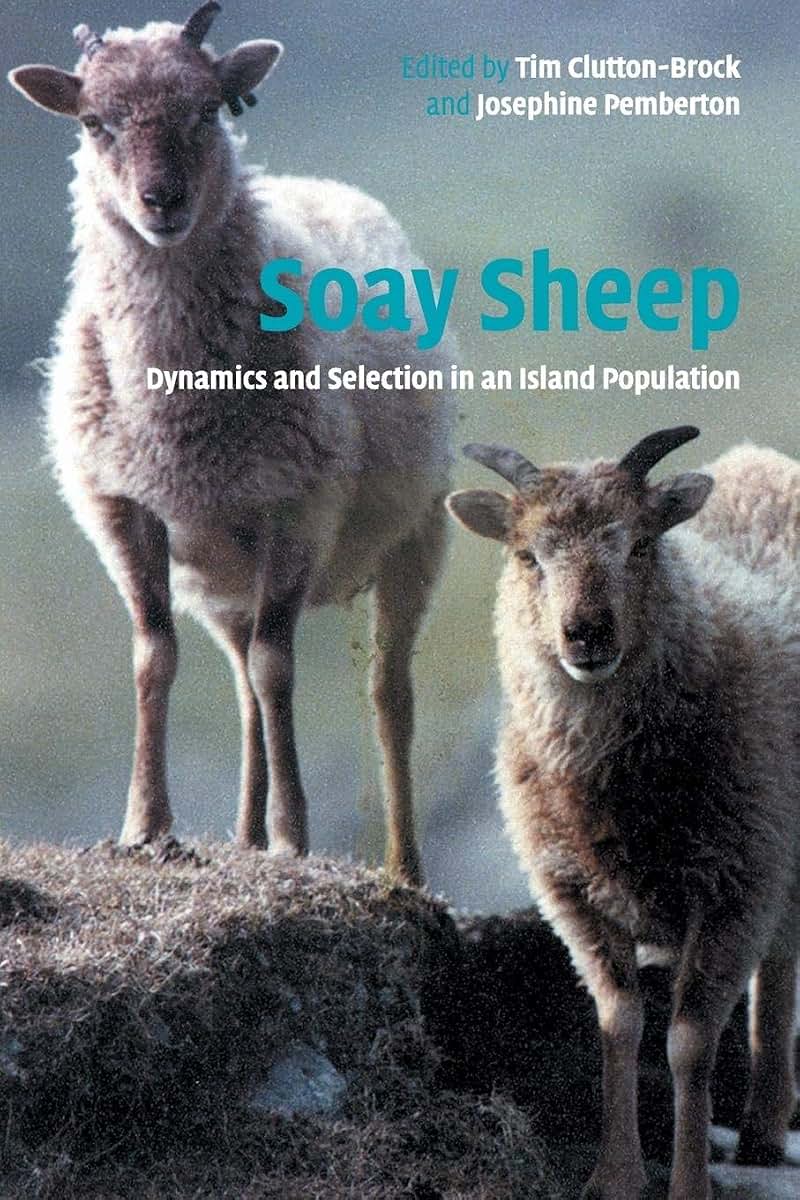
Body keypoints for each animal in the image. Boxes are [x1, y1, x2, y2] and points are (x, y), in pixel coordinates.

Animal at [8, 2, 454, 887]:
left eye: (208, 110)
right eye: (94, 122)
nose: (163, 201)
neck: (179, 415)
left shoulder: (299, 505)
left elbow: (280, 667)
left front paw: (291, 835)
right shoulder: (125, 508)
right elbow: (155, 657)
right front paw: (145, 825)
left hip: (416, 532)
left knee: (387, 694)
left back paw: (402, 867)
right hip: (219, 570)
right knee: (243, 684)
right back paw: (243, 834)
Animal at [446, 426, 800, 1199]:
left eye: (639, 545)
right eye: (527, 555)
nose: (587, 633)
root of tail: (759, 459)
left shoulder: (734, 890)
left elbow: (689, 1045)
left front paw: (689, 1182)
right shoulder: (573, 894)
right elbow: (619, 1025)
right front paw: (614, 1175)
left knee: (780, 973)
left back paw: (766, 1123)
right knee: (781, 962)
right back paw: (760, 1134)